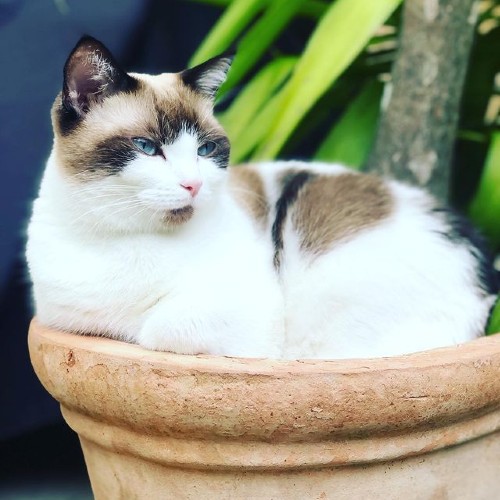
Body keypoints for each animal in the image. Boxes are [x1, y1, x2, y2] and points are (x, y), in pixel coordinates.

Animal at [25, 38, 498, 360]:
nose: (193, 185)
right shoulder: (62, 317)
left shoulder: (247, 311)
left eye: (205, 150)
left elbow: (157, 328)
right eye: (146, 147)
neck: (125, 240)